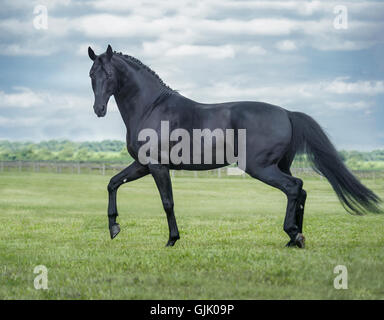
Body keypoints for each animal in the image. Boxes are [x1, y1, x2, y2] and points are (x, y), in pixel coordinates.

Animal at [88, 44, 380, 248]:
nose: (98, 109)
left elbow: (167, 202)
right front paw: (114, 228)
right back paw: (294, 239)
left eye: (109, 74)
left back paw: (293, 234)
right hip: (278, 165)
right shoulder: (142, 164)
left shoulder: (158, 166)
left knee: (294, 187)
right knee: (301, 191)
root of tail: (287, 113)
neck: (152, 107)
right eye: (92, 75)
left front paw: (172, 239)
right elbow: (113, 183)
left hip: (260, 167)